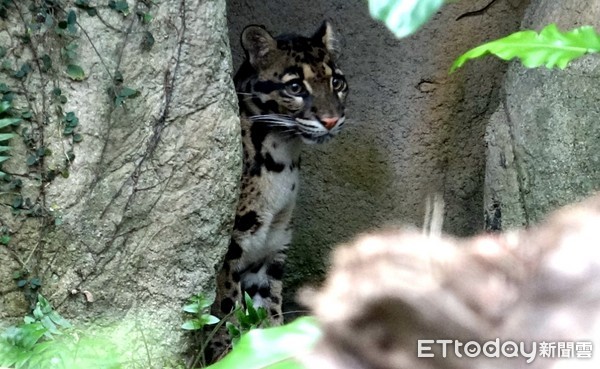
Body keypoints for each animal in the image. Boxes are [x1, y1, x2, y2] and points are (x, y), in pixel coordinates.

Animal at [207, 20, 350, 360]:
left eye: (337, 82)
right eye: (295, 87)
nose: (331, 120)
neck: (283, 159)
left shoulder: (271, 248)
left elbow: (269, 312)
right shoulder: (230, 252)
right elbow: (227, 314)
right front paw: (225, 357)